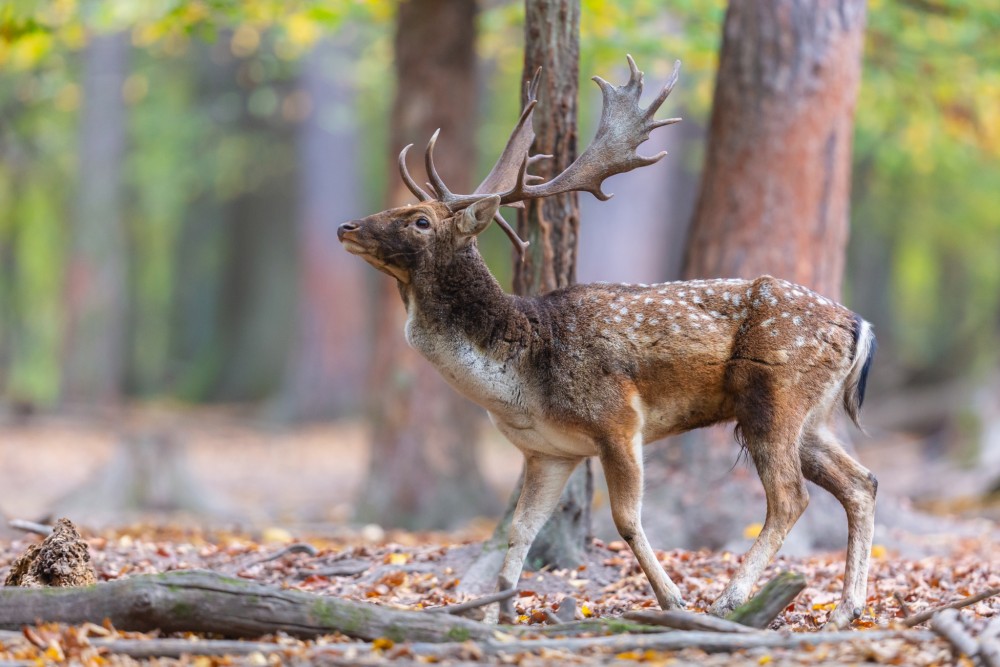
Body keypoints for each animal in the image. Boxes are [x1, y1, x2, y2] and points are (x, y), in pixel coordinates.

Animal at [340, 54, 880, 628]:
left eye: (419, 220)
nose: (347, 227)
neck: (517, 378)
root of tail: (859, 324)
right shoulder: (548, 452)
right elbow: (521, 530)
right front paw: (500, 613)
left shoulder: (618, 419)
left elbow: (624, 520)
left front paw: (671, 600)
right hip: (812, 416)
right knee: (861, 483)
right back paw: (845, 610)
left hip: (774, 396)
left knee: (790, 497)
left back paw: (729, 599)